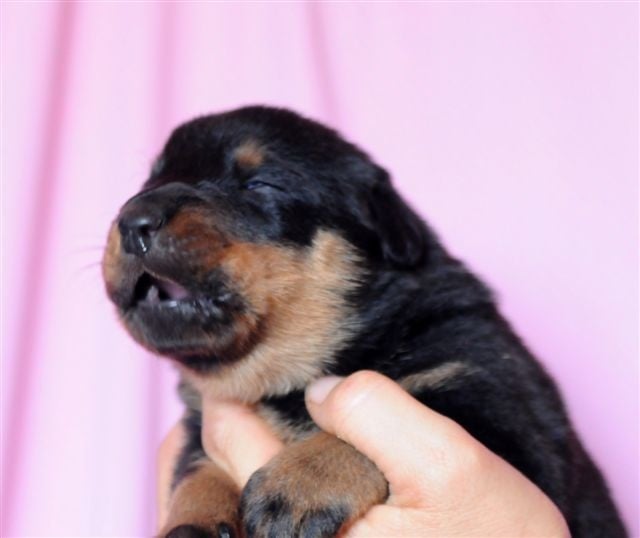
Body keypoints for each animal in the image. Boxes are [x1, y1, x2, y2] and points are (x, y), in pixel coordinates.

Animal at [103, 106, 626, 538]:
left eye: (260, 185)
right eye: (149, 182)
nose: (134, 217)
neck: (286, 380)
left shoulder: (498, 401)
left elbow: (411, 405)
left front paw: (298, 484)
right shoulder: (199, 419)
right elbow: (197, 465)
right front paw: (194, 520)